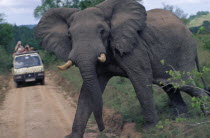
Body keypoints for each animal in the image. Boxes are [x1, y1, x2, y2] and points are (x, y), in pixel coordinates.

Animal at [34, 0, 208, 137]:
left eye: (102, 31)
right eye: (69, 36)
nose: (103, 129)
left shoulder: (135, 47)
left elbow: (140, 80)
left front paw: (150, 129)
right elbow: (88, 89)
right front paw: (73, 136)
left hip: (184, 49)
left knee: (182, 82)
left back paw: (204, 112)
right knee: (170, 86)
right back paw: (182, 118)